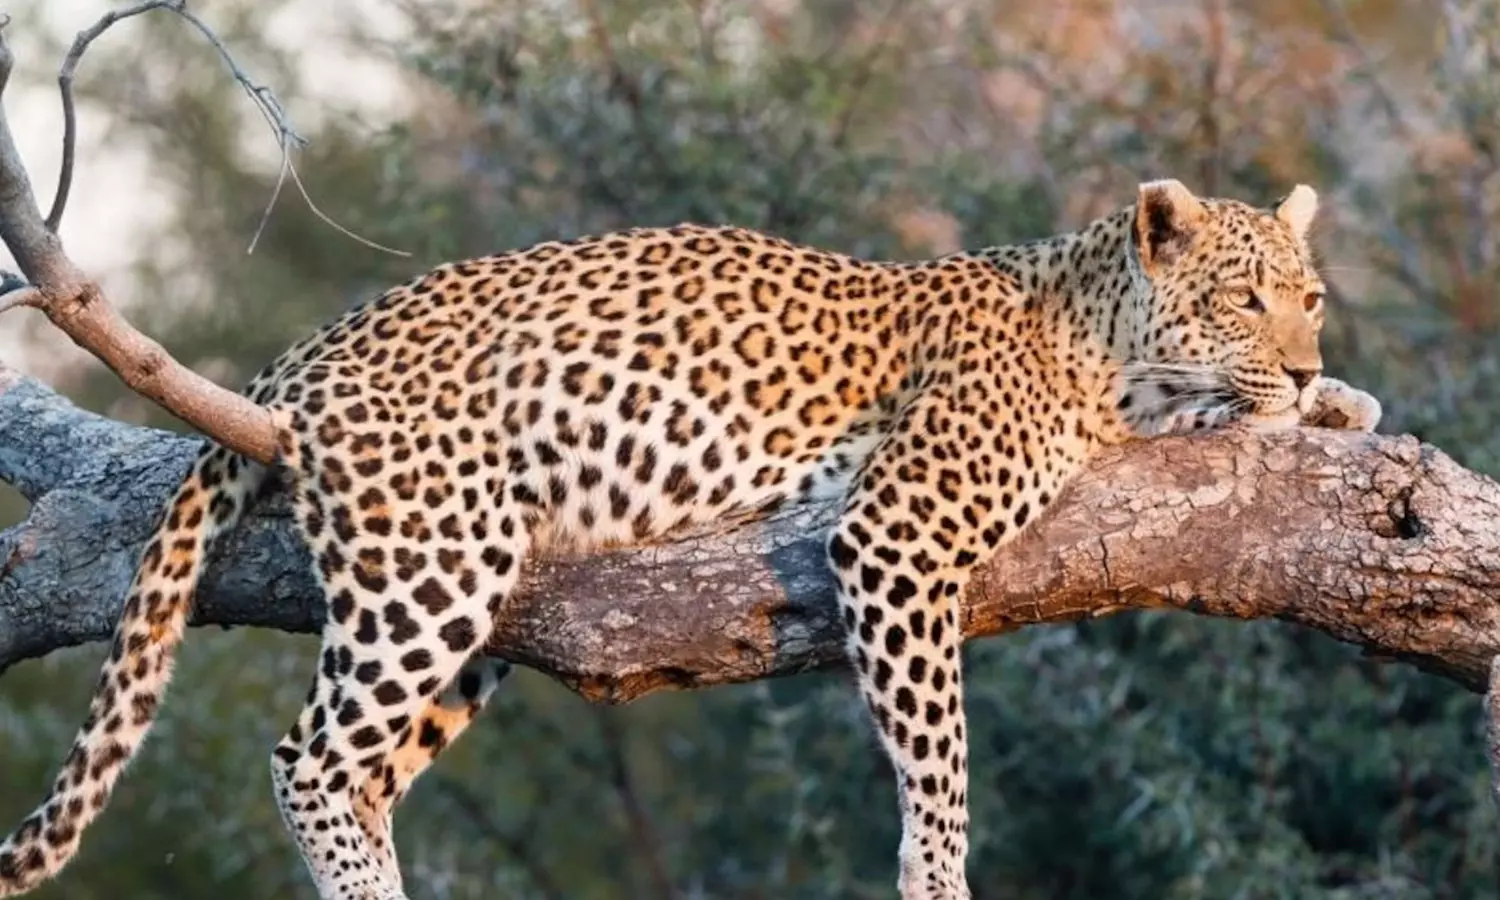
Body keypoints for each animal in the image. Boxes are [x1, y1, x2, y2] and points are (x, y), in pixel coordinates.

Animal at [0, 178, 1381, 900]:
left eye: (1310, 298)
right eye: (1243, 298)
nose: (1307, 355)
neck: (1103, 346)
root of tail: (299, 357)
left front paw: (1338, 403)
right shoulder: (896, 536)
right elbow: (939, 758)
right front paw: (939, 879)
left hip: (483, 604)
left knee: (374, 764)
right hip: (432, 561)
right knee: (312, 760)